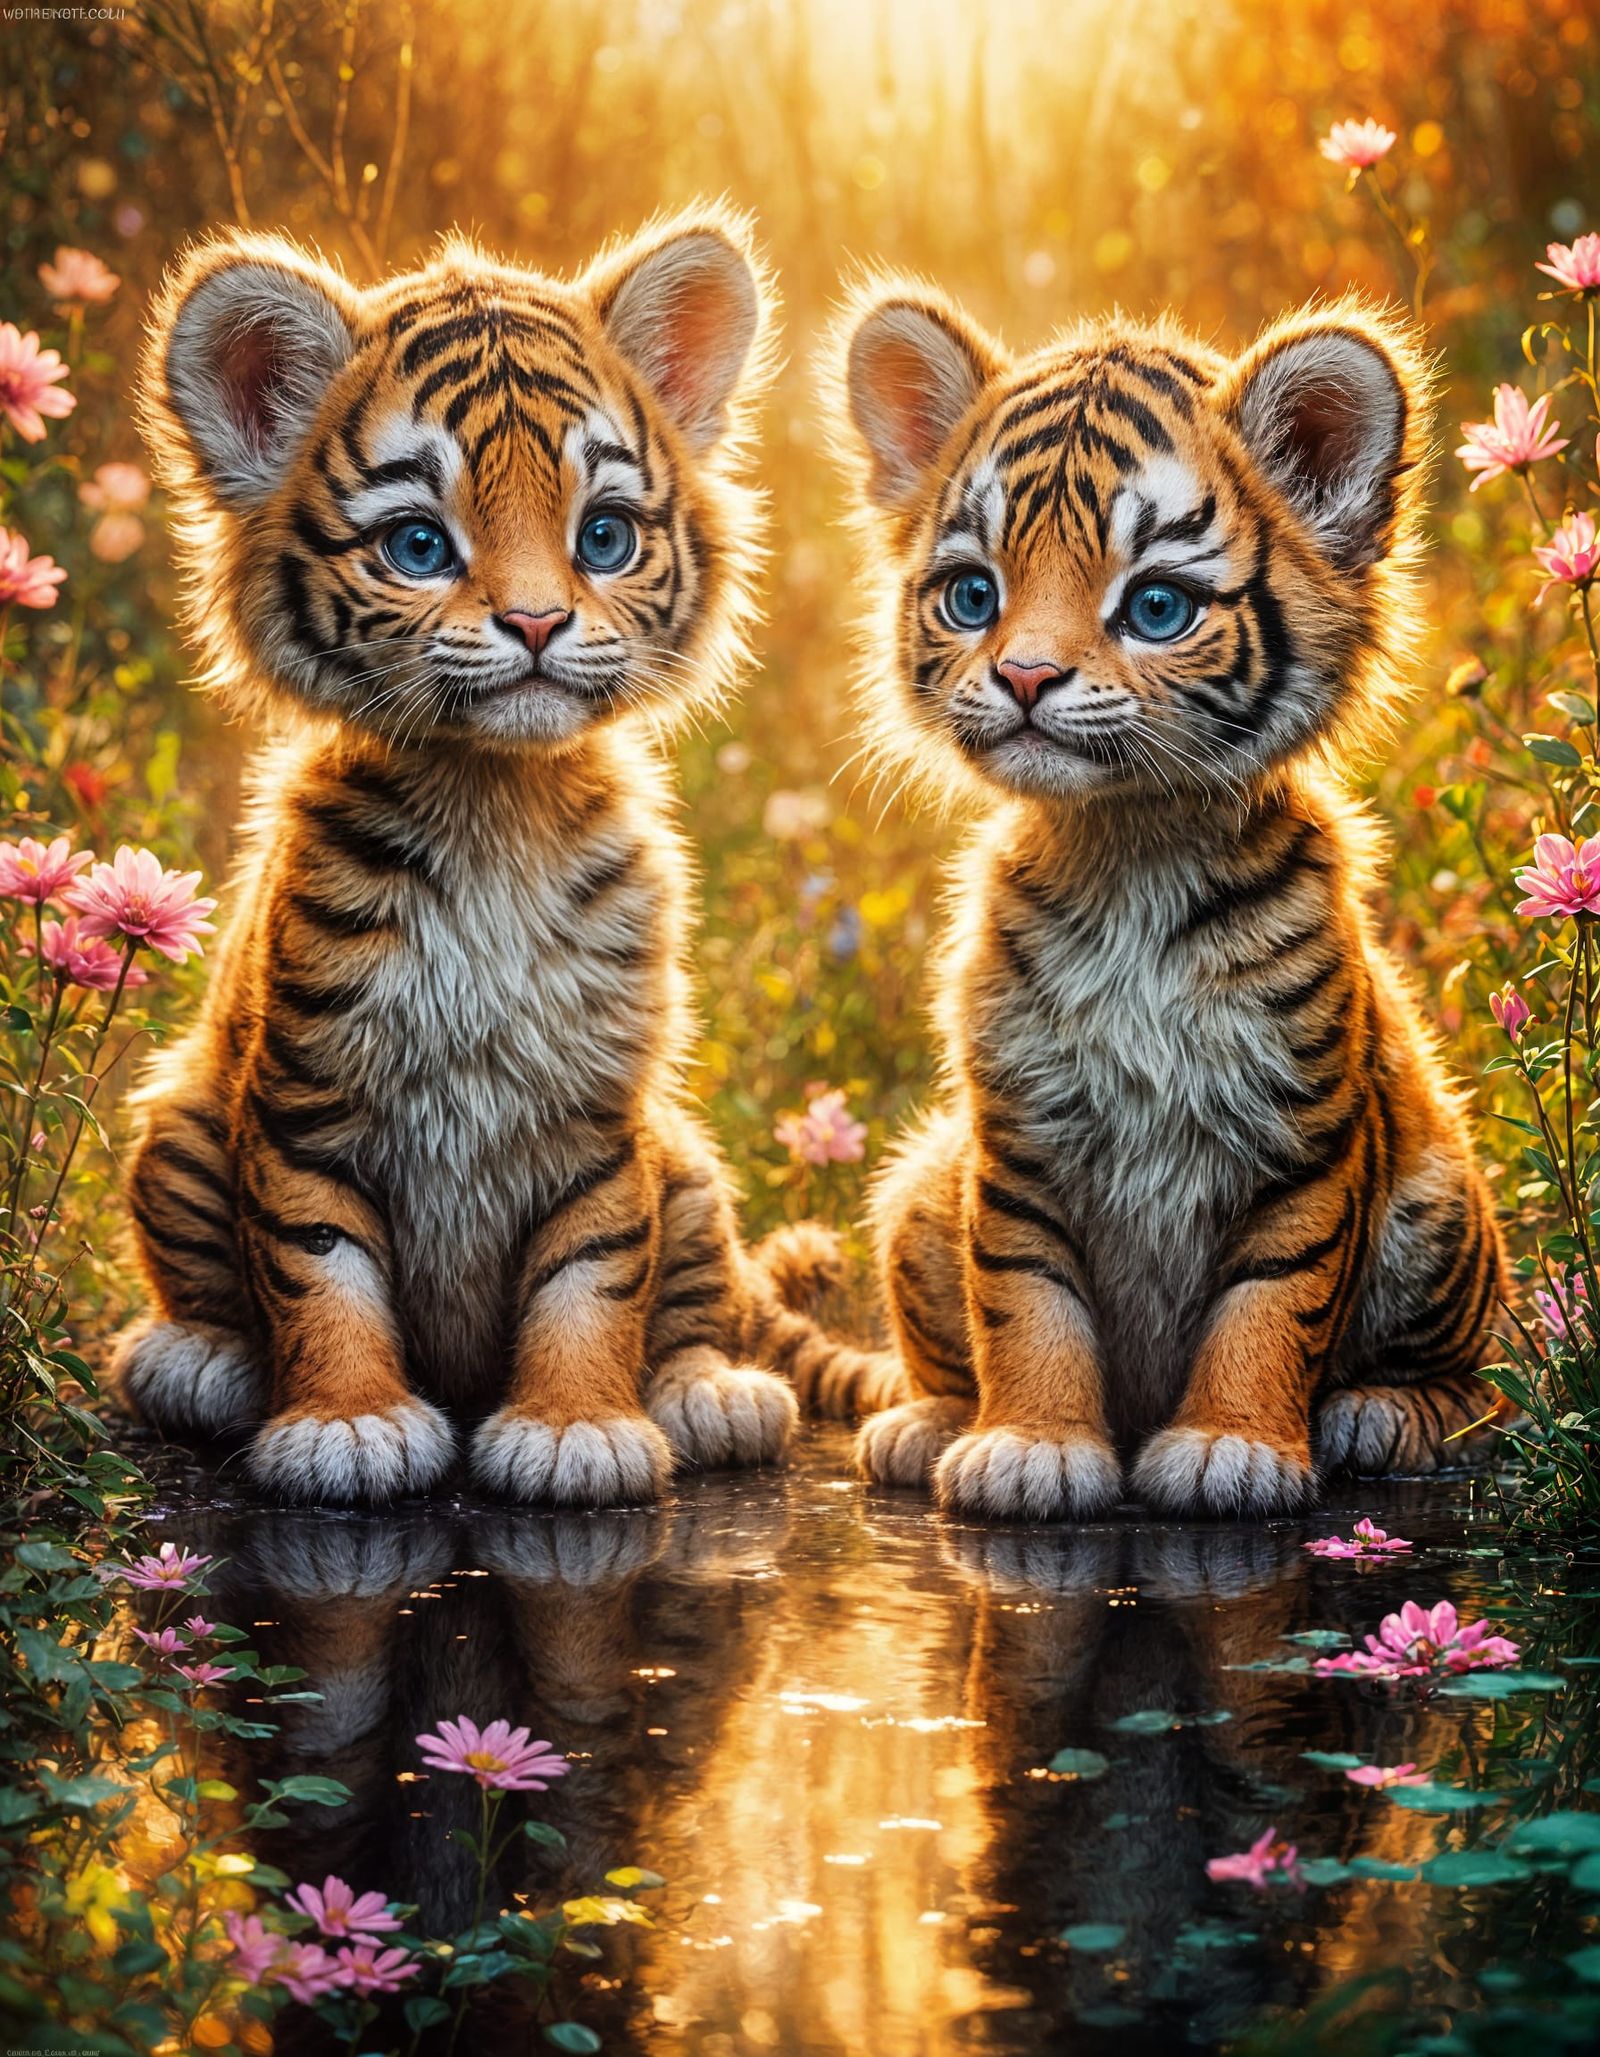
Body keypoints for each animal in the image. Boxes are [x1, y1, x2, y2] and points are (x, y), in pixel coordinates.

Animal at [112, 207, 887, 1508]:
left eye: (604, 536)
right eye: (419, 544)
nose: (534, 623)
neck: (494, 804)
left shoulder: (599, 1108)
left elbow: (597, 1271)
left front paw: (578, 1427)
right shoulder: (306, 1095)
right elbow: (315, 1263)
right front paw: (348, 1423)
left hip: (690, 1162)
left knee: (699, 1301)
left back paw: (710, 1393)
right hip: (177, 1120)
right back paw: (201, 1362)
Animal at [818, 278, 1509, 1521]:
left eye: (1154, 608)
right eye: (971, 595)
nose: (1024, 677)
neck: (1128, 844)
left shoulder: (1302, 1133)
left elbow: (1272, 1299)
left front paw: (1232, 1445)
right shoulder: (1019, 1132)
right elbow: (1023, 1296)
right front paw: (1031, 1445)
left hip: (1441, 1202)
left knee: (1480, 1385)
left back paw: (1385, 1413)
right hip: (919, 1186)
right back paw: (926, 1422)